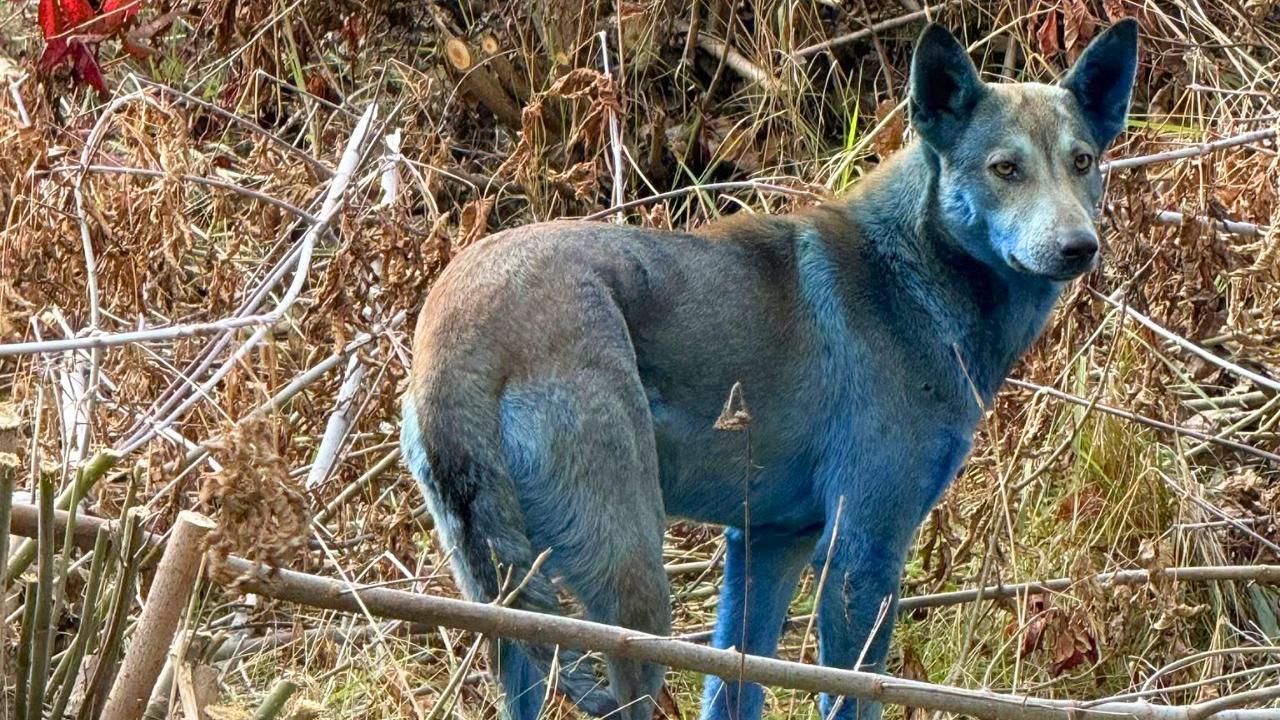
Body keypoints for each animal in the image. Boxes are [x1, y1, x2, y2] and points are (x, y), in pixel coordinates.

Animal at [400, 19, 1138, 720]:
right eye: (1005, 168)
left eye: (1082, 162)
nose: (1080, 247)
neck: (911, 275)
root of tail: (450, 330)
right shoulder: (862, 554)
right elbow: (849, 696)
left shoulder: (768, 543)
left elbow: (734, 692)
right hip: (634, 587)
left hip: (512, 621)